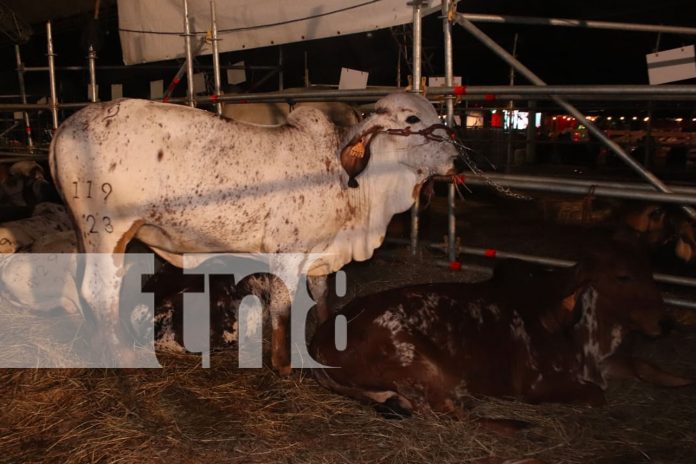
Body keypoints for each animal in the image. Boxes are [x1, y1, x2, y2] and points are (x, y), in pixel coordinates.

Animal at [50, 92, 462, 372]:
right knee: (98, 290)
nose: (456, 157)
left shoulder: (319, 253)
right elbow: (283, 307)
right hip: (107, 230)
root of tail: (65, 127)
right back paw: (121, 354)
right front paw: (283, 364)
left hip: (86, 233)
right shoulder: (287, 252)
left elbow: (322, 294)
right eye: (411, 118)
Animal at [312, 239, 692, 416]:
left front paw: (680, 380)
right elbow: (598, 395)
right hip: (423, 368)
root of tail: (321, 337)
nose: (666, 322)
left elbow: (641, 366)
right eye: (623, 276)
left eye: (650, 271)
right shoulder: (537, 384)